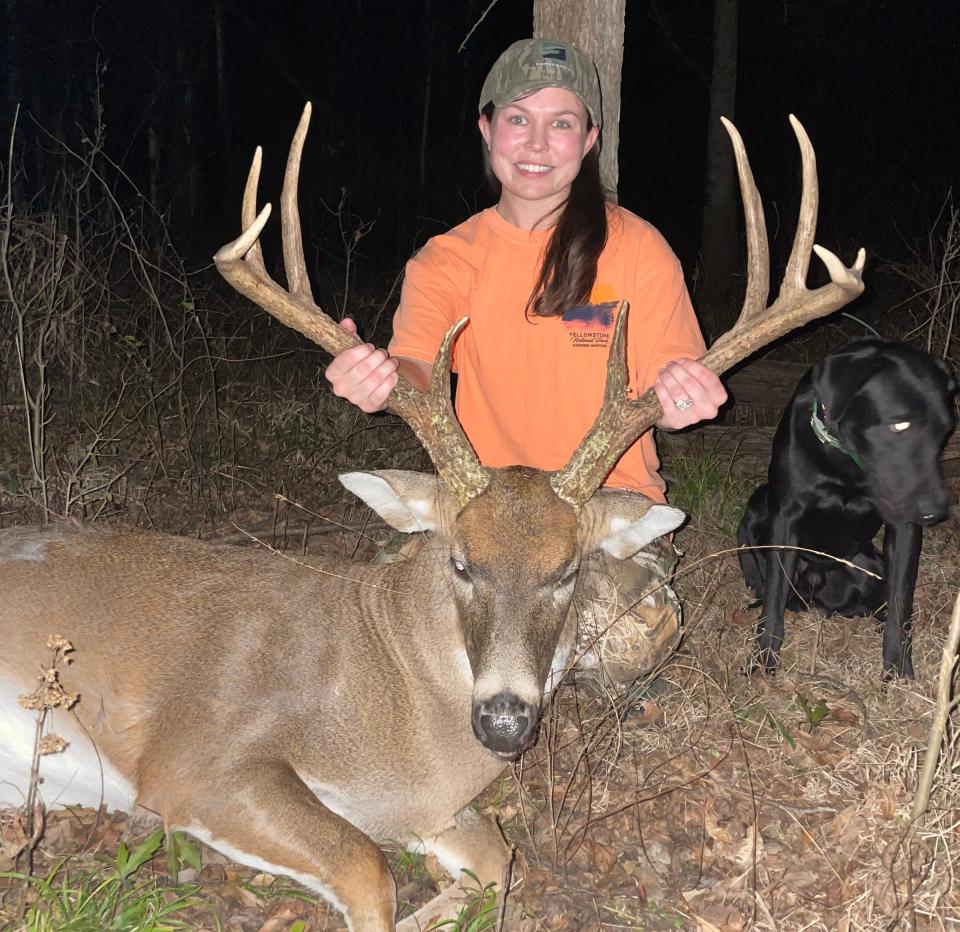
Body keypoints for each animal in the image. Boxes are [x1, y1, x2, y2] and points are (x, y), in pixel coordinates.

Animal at [0, 105, 868, 928]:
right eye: (459, 562)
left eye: (568, 571)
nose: (506, 723)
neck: (399, 712)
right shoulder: (197, 759)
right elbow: (366, 871)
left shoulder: (430, 806)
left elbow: (499, 864)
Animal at [736, 338, 952, 672]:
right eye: (900, 425)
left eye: (945, 430)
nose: (935, 512)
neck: (847, 460)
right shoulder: (786, 519)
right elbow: (773, 598)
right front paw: (763, 659)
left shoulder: (902, 525)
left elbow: (901, 603)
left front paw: (898, 669)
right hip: (755, 511)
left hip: (868, 565)